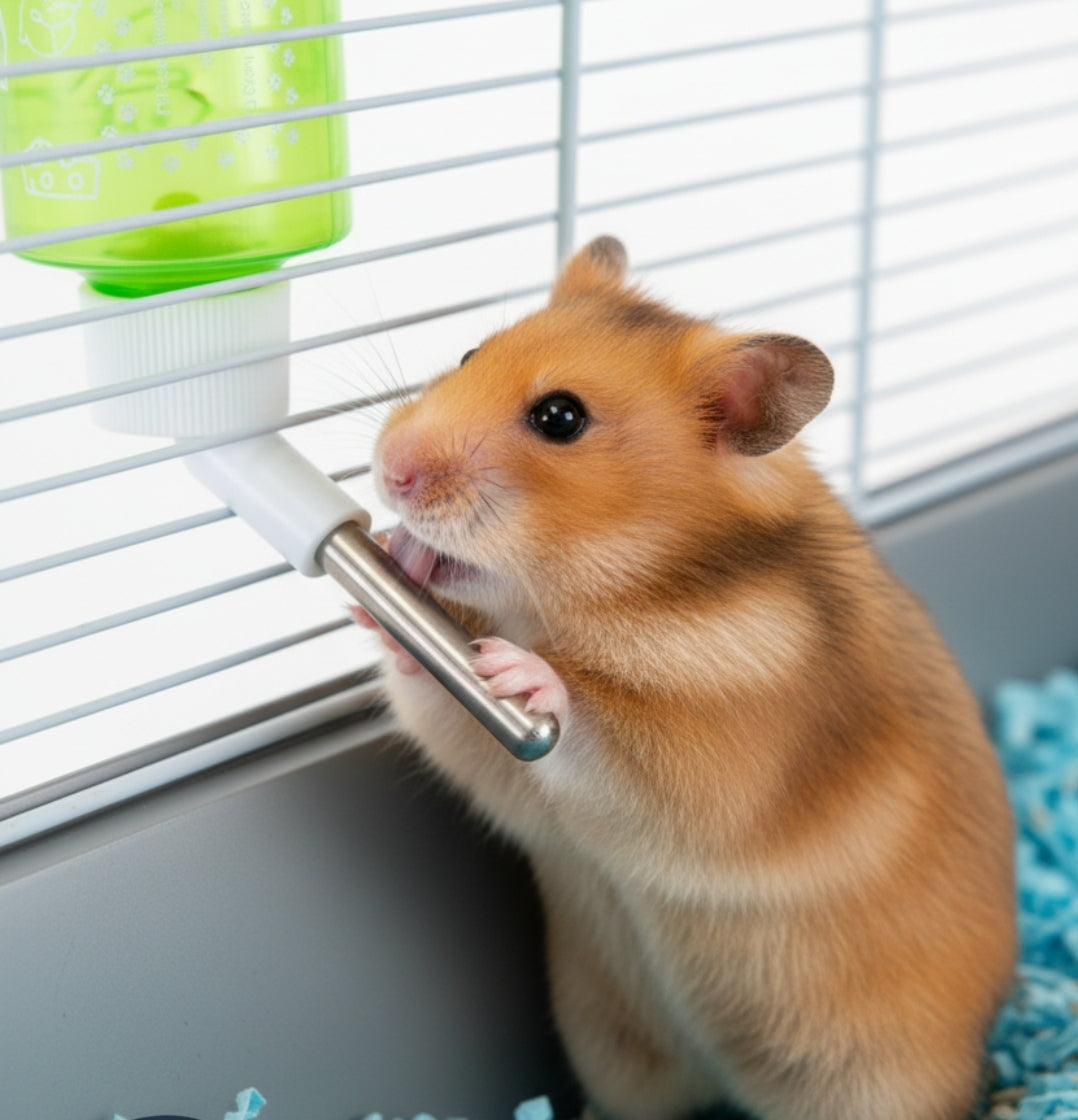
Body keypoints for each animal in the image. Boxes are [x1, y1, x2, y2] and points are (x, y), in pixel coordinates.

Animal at [365, 236, 1016, 1120]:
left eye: (559, 418)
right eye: (469, 353)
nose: (387, 470)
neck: (620, 596)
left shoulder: (724, 764)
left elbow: (610, 735)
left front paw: (521, 673)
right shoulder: (528, 804)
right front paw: (383, 590)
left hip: (868, 1078)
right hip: (618, 1045)